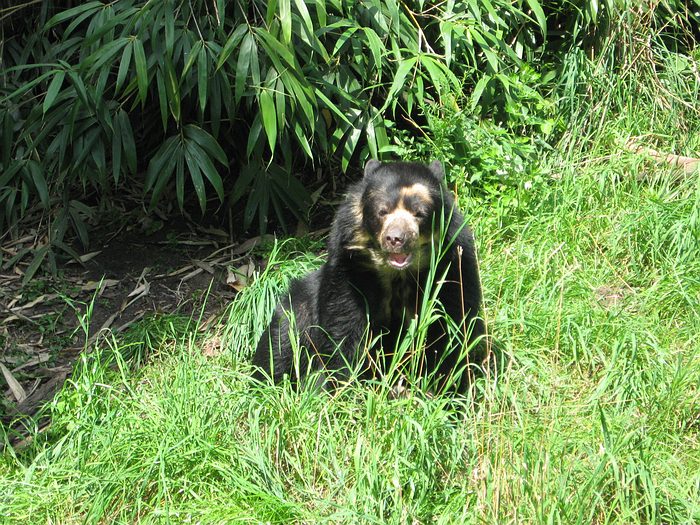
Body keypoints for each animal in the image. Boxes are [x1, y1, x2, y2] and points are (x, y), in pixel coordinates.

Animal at [253, 160, 484, 394]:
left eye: (419, 213)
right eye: (382, 211)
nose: (395, 239)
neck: (397, 273)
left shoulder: (452, 267)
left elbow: (450, 326)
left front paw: (441, 387)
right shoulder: (349, 270)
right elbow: (344, 326)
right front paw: (345, 386)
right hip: (298, 307)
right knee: (281, 341)